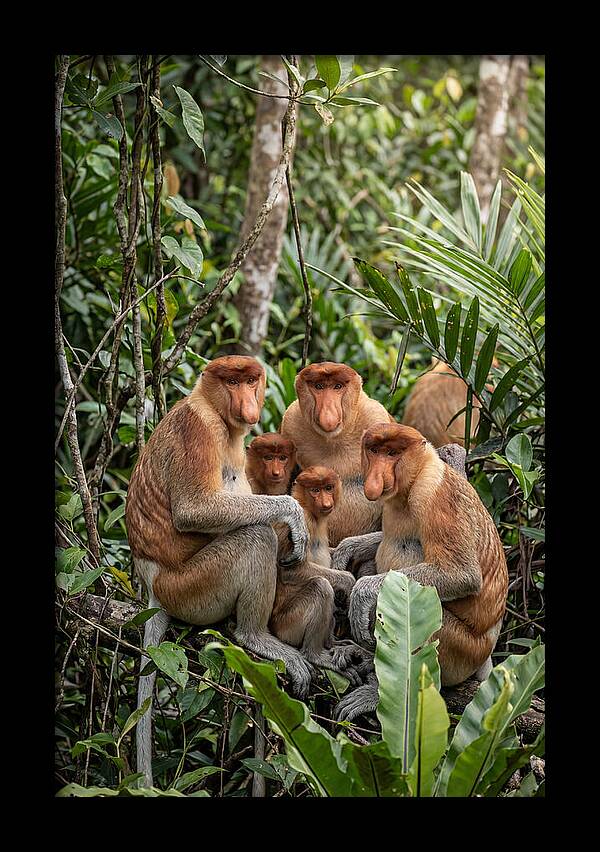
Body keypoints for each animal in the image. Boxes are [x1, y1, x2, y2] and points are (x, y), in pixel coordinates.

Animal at [125, 355, 313, 786]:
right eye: (231, 381)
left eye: (251, 380)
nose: (248, 403)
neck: (212, 407)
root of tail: (153, 585)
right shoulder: (199, 429)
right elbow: (195, 509)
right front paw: (293, 515)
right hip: (192, 587)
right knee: (254, 537)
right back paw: (254, 636)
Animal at [269, 466, 372, 682]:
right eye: (315, 490)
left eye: (328, 487)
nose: (326, 502)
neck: (310, 510)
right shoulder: (302, 522)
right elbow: (291, 570)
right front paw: (348, 581)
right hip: (288, 626)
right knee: (321, 586)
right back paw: (315, 654)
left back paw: (335, 644)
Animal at [280, 362, 394, 549]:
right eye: (319, 386)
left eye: (337, 386)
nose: (328, 414)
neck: (334, 440)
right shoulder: (290, 422)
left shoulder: (376, 417)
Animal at [333, 423, 508, 722]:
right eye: (374, 450)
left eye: (392, 453)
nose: (376, 477)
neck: (414, 479)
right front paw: (347, 549)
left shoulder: (435, 496)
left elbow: (461, 574)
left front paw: (362, 593)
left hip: (461, 650)